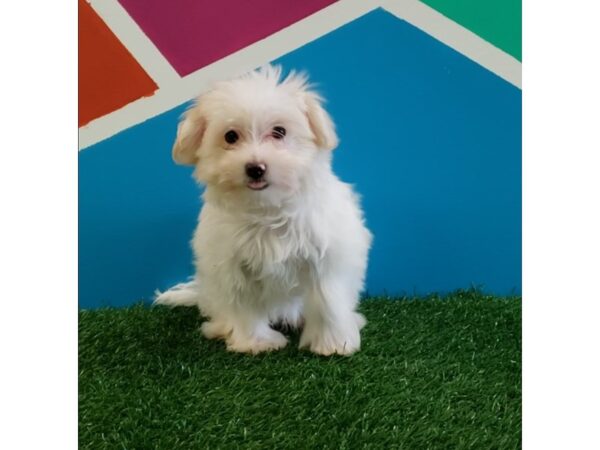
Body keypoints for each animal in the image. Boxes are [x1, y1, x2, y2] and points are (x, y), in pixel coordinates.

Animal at [156, 66, 370, 356]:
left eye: (279, 132)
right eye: (230, 136)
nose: (255, 168)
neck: (267, 210)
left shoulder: (327, 257)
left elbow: (328, 300)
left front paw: (333, 343)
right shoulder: (232, 266)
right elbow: (244, 304)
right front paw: (255, 342)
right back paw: (220, 327)